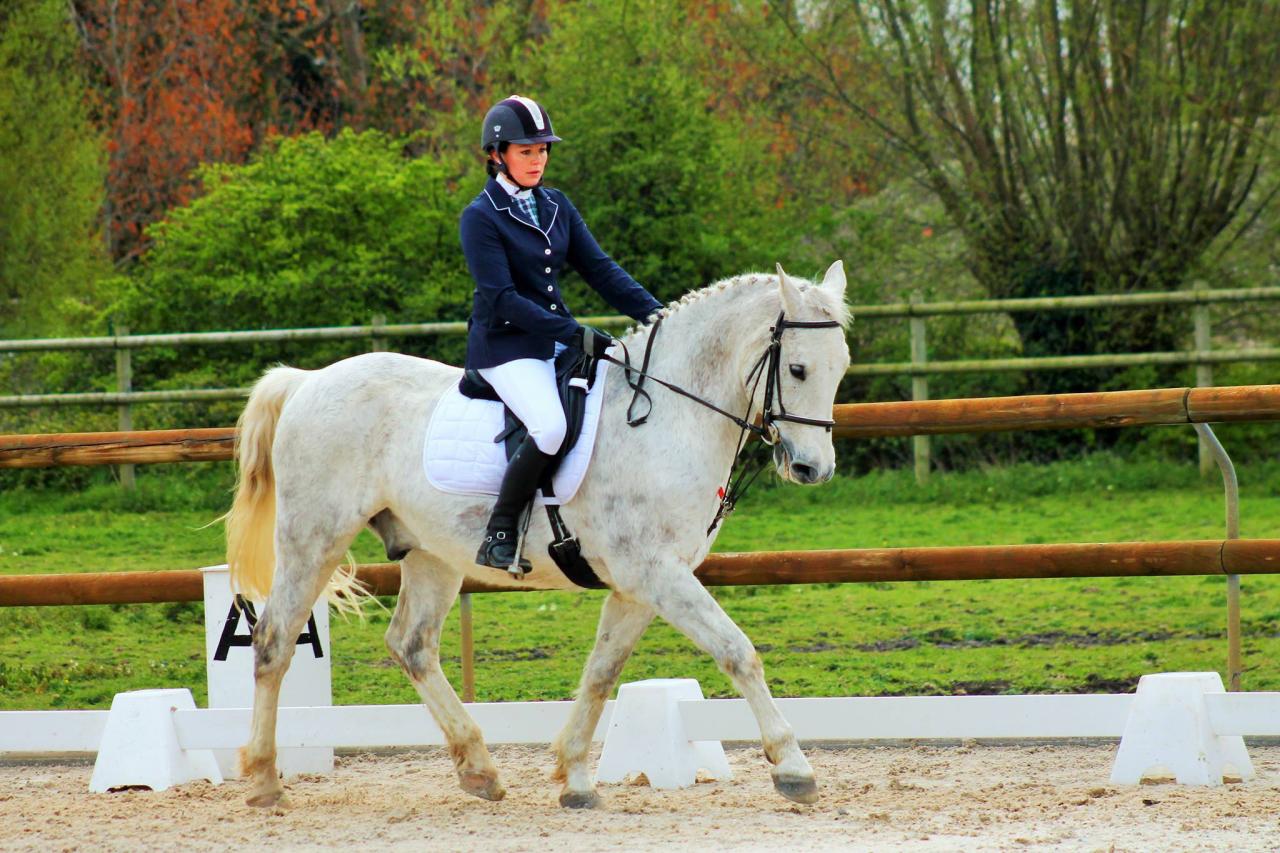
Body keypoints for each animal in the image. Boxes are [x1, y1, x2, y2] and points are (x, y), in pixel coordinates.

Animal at [227, 258, 849, 804]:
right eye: (797, 369)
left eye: (841, 367)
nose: (813, 469)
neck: (667, 418)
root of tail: (308, 382)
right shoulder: (655, 574)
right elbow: (737, 651)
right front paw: (793, 768)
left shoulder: (640, 585)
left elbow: (601, 673)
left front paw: (574, 778)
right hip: (313, 537)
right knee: (274, 640)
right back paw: (264, 781)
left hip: (432, 554)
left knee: (412, 645)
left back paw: (479, 771)